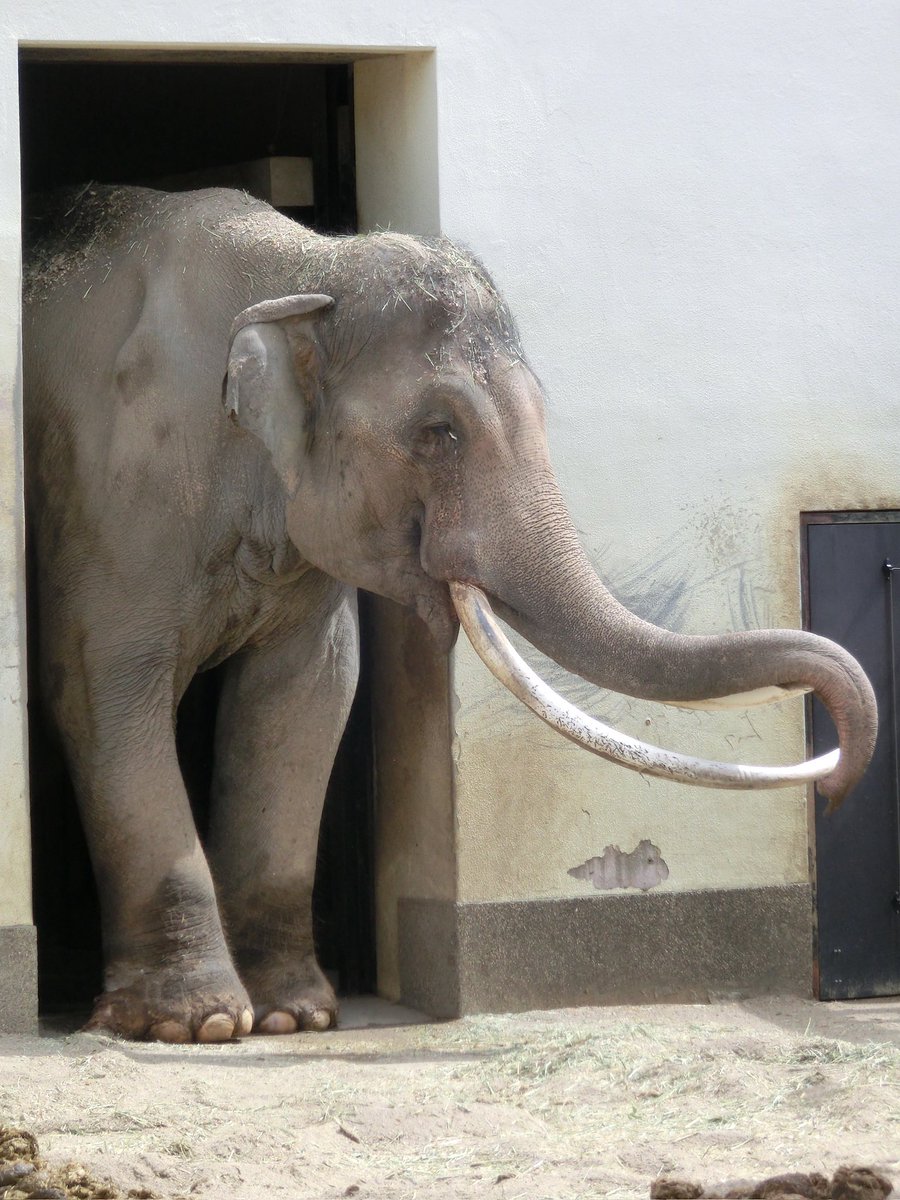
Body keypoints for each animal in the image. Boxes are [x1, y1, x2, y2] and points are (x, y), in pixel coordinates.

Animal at [23, 184, 877, 1043]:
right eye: (439, 432)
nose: (837, 792)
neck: (307, 266)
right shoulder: (119, 495)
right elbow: (99, 689)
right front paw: (196, 1026)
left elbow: (307, 698)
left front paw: (297, 1016)